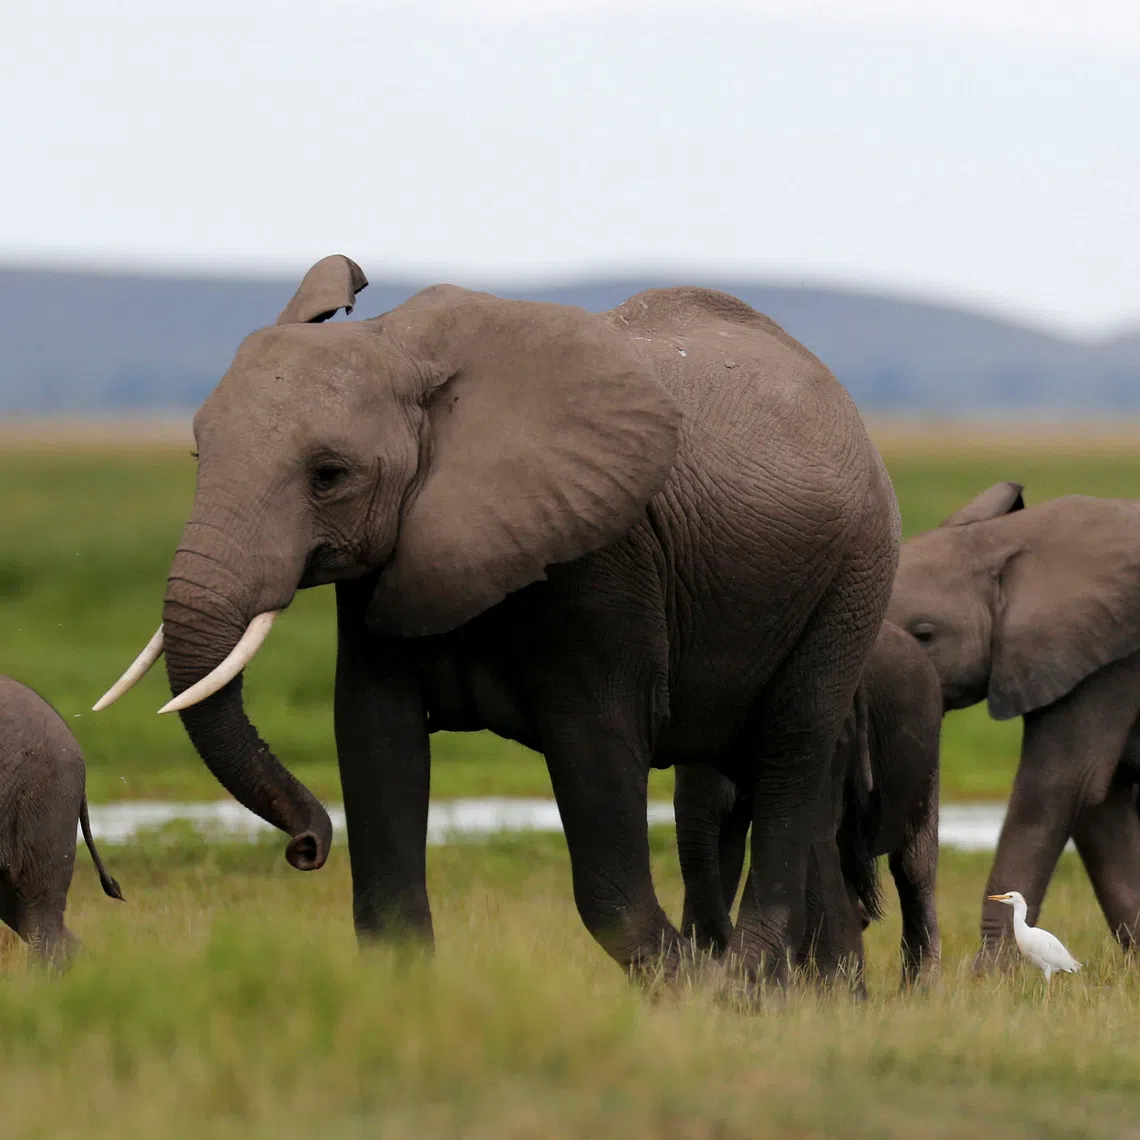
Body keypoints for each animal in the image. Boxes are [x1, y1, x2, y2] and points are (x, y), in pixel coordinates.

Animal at [95, 254, 899, 988]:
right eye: (198, 454)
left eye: (329, 476)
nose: (306, 847)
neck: (403, 350)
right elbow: (374, 734)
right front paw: (406, 997)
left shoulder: (604, 557)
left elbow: (596, 745)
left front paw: (690, 990)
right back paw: (812, 998)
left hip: (853, 577)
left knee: (791, 752)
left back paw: (746, 983)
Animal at [887, 481, 1140, 969]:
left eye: (925, 634)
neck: (1004, 540)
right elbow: (1099, 805)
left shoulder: (1108, 660)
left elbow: (1058, 788)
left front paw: (990, 974)